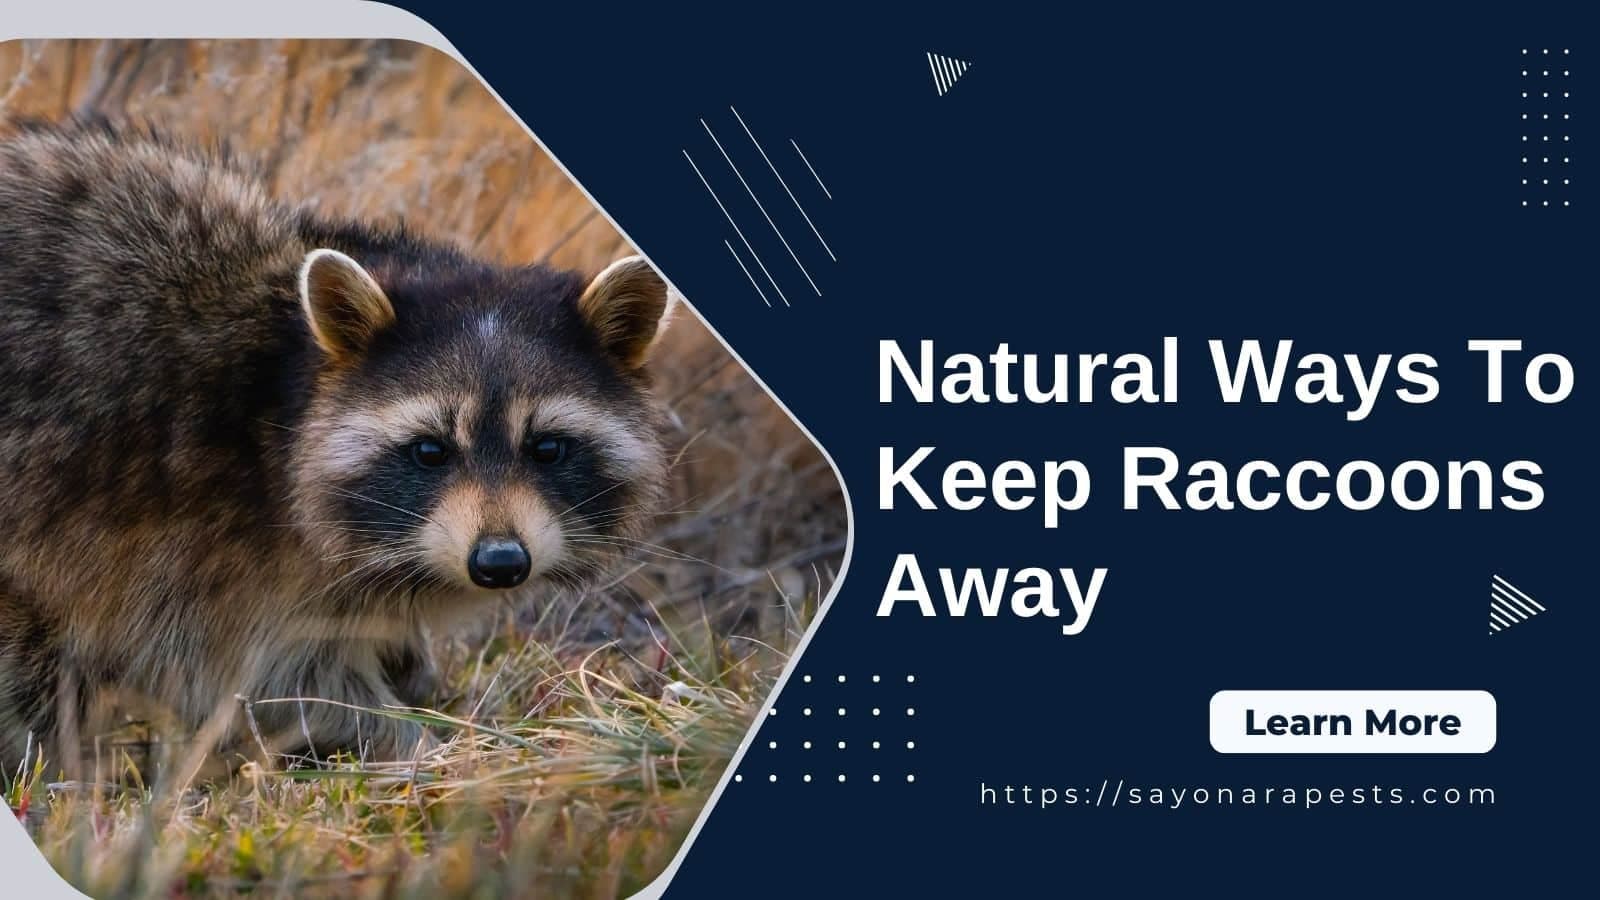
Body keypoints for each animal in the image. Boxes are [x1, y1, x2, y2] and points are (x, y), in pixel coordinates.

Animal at [0, 119, 674, 773]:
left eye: (547, 449)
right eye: (430, 451)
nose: (500, 562)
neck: (284, 388)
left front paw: (413, 670)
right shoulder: (203, 543)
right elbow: (269, 679)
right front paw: (430, 749)